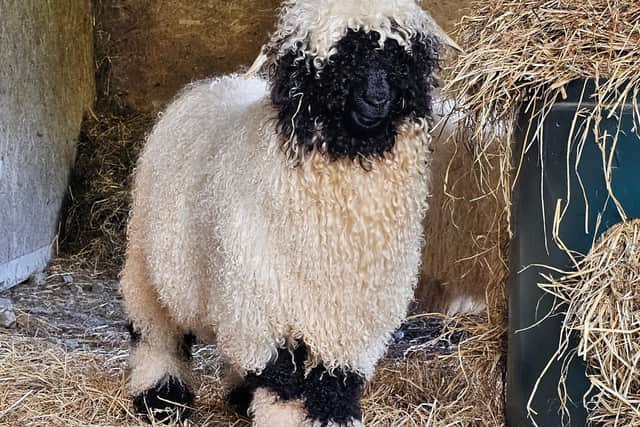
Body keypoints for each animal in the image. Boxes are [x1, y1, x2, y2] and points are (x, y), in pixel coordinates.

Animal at [120, 1, 453, 425]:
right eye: (337, 59)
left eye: (399, 57)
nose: (377, 97)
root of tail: (213, 83)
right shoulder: (264, 306)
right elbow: (282, 382)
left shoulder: (353, 314)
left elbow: (334, 382)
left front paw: (335, 415)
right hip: (149, 262)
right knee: (156, 331)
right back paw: (160, 395)